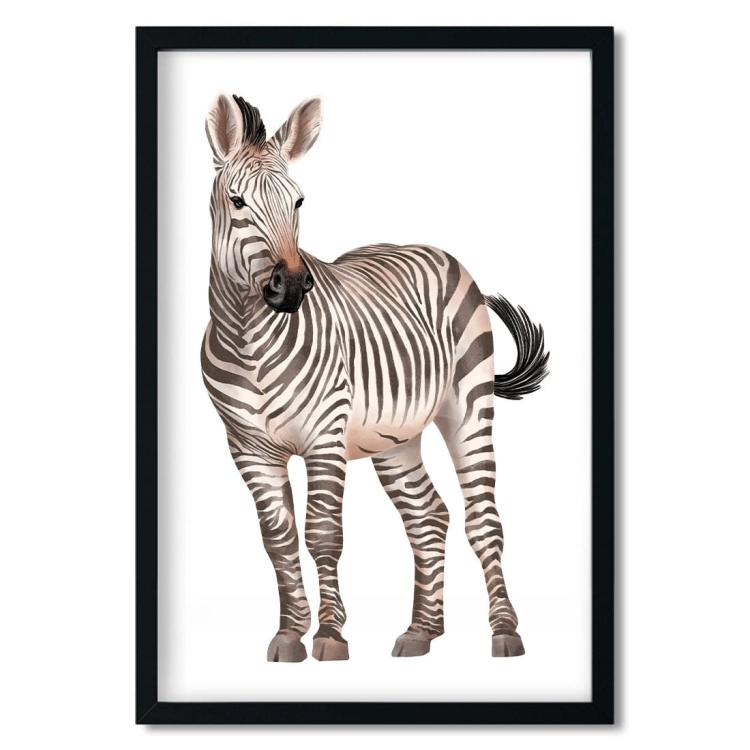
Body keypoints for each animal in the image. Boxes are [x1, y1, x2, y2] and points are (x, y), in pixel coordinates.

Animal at [202, 93, 549, 662]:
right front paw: (289, 634)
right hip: (395, 437)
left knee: (483, 519)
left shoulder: (323, 436)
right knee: (428, 518)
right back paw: (421, 631)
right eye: (237, 202)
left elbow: (322, 534)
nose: (292, 286)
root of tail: (427, 247)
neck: (248, 335)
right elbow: (278, 539)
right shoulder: (247, 447)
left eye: (299, 203)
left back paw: (504, 632)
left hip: (469, 406)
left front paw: (329, 636)